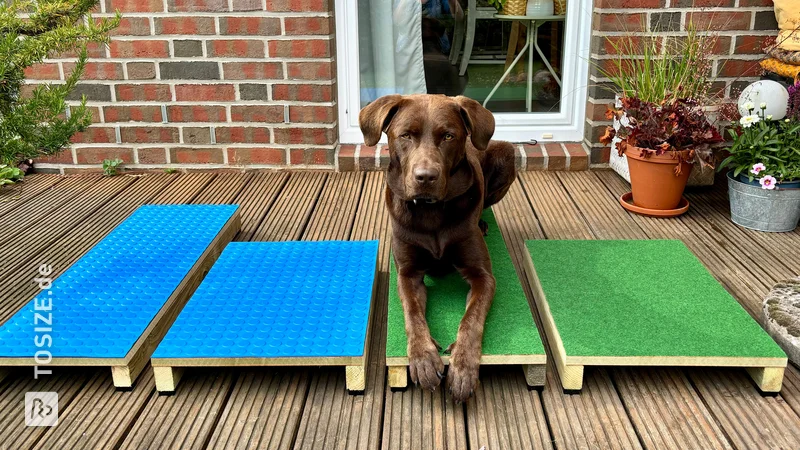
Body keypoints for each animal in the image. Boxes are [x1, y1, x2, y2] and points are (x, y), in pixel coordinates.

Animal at [358, 94, 520, 400]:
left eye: (448, 136)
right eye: (405, 135)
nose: (425, 177)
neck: (431, 214)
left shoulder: (483, 276)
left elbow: (471, 319)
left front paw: (463, 368)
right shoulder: (407, 274)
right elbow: (412, 314)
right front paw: (423, 359)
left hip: (507, 153)